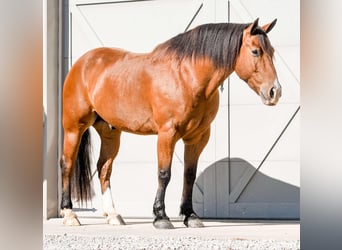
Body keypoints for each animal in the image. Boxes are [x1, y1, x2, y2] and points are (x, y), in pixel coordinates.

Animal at [60, 18, 280, 229]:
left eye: (272, 51)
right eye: (255, 51)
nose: (275, 91)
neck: (187, 77)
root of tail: (82, 63)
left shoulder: (197, 138)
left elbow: (189, 175)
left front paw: (190, 216)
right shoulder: (167, 133)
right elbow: (164, 174)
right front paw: (160, 217)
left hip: (110, 132)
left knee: (104, 168)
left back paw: (113, 215)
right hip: (74, 128)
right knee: (67, 164)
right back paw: (69, 214)